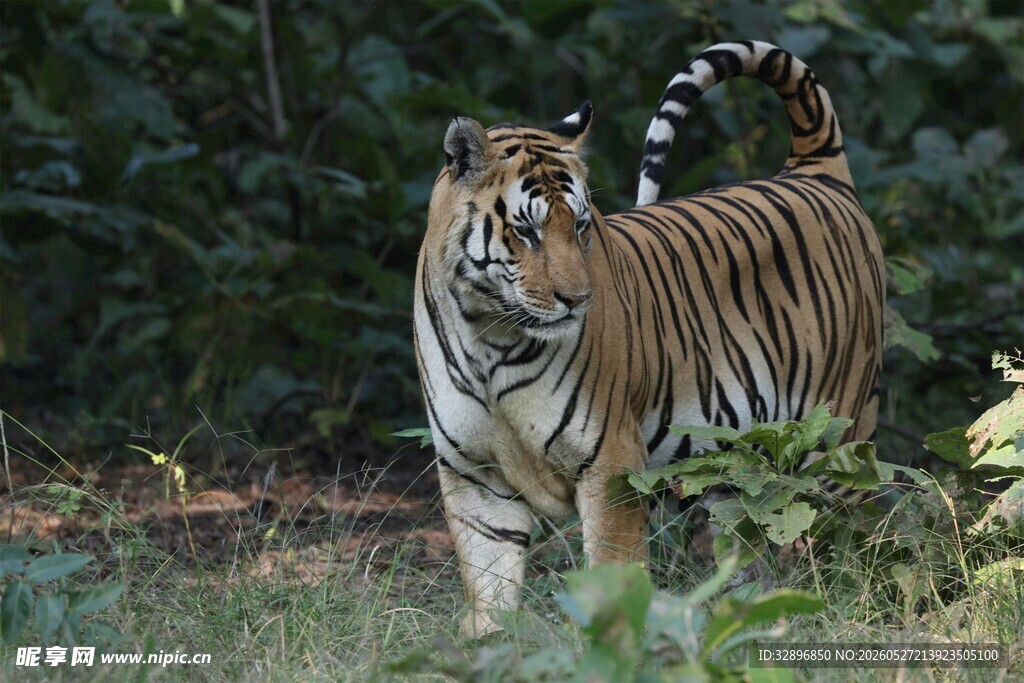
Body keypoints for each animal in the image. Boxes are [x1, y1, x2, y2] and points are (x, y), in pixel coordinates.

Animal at [413, 40, 884, 637]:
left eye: (581, 225)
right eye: (527, 231)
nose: (577, 299)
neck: (489, 335)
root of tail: (813, 171)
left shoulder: (610, 461)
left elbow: (611, 579)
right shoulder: (473, 477)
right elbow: (490, 590)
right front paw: (485, 645)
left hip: (837, 437)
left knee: (850, 534)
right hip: (737, 467)